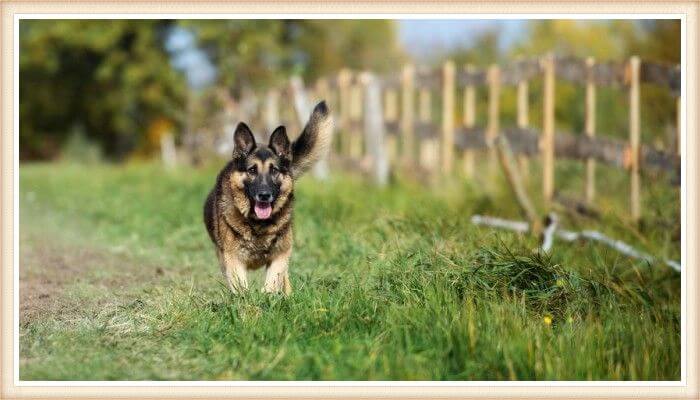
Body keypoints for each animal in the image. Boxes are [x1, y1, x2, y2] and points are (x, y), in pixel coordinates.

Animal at [204, 101, 332, 294]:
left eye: (274, 170)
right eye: (252, 170)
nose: (264, 195)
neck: (258, 224)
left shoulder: (280, 256)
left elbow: (272, 283)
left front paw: (267, 297)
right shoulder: (233, 259)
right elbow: (242, 289)